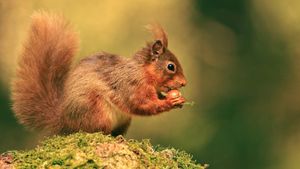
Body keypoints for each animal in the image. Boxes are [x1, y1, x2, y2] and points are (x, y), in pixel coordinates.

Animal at [11, 11, 186, 136]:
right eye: (171, 66)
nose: (184, 83)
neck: (142, 71)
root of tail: (64, 120)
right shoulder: (131, 85)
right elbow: (141, 104)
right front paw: (169, 102)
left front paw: (178, 99)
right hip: (96, 111)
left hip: (123, 121)